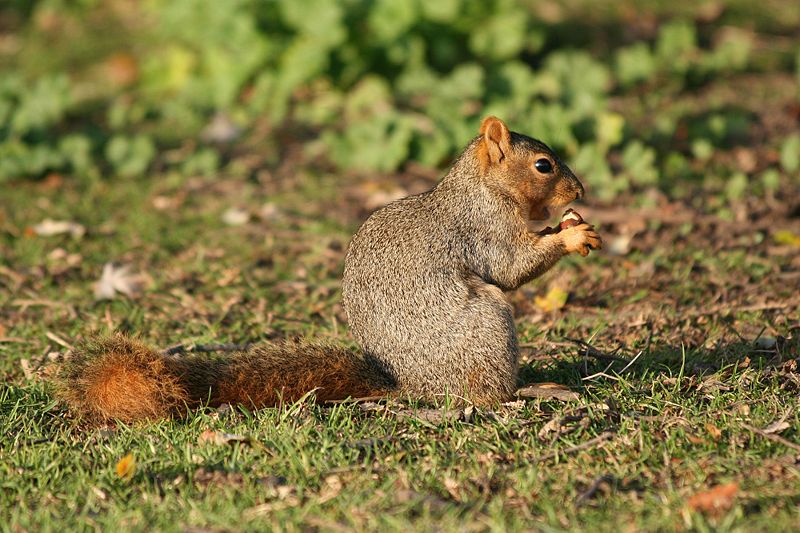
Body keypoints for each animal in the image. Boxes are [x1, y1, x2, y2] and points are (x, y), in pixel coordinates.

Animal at [56, 115, 600, 420]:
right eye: (544, 165)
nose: (581, 191)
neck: (484, 188)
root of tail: (407, 385)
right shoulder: (485, 228)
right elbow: (511, 267)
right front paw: (571, 234)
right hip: (487, 324)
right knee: (486, 394)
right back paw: (532, 389)